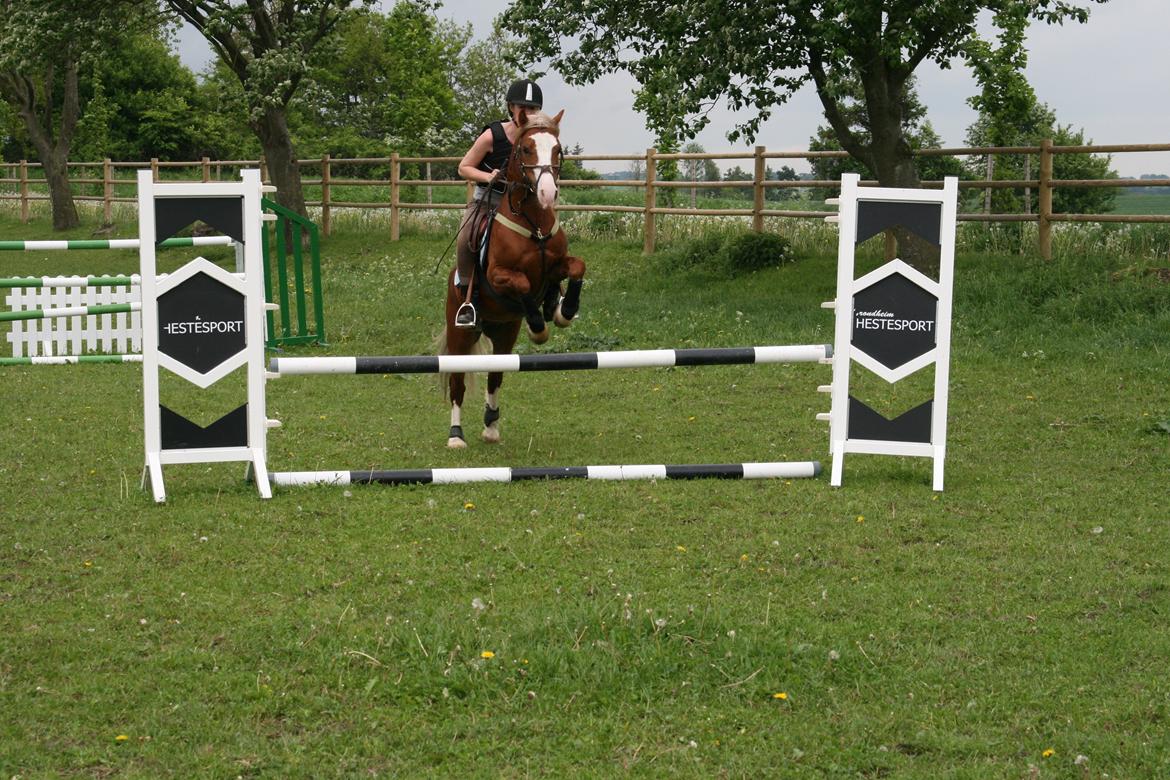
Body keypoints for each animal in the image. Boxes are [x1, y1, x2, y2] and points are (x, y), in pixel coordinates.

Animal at [439, 112, 585, 449]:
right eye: (526, 149)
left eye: (557, 149)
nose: (547, 194)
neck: (534, 222)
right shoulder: (499, 276)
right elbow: (523, 285)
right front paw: (539, 328)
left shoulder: (556, 267)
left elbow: (577, 268)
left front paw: (562, 310)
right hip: (460, 334)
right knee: (457, 383)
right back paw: (456, 436)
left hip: (504, 332)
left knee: (495, 375)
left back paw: (491, 427)